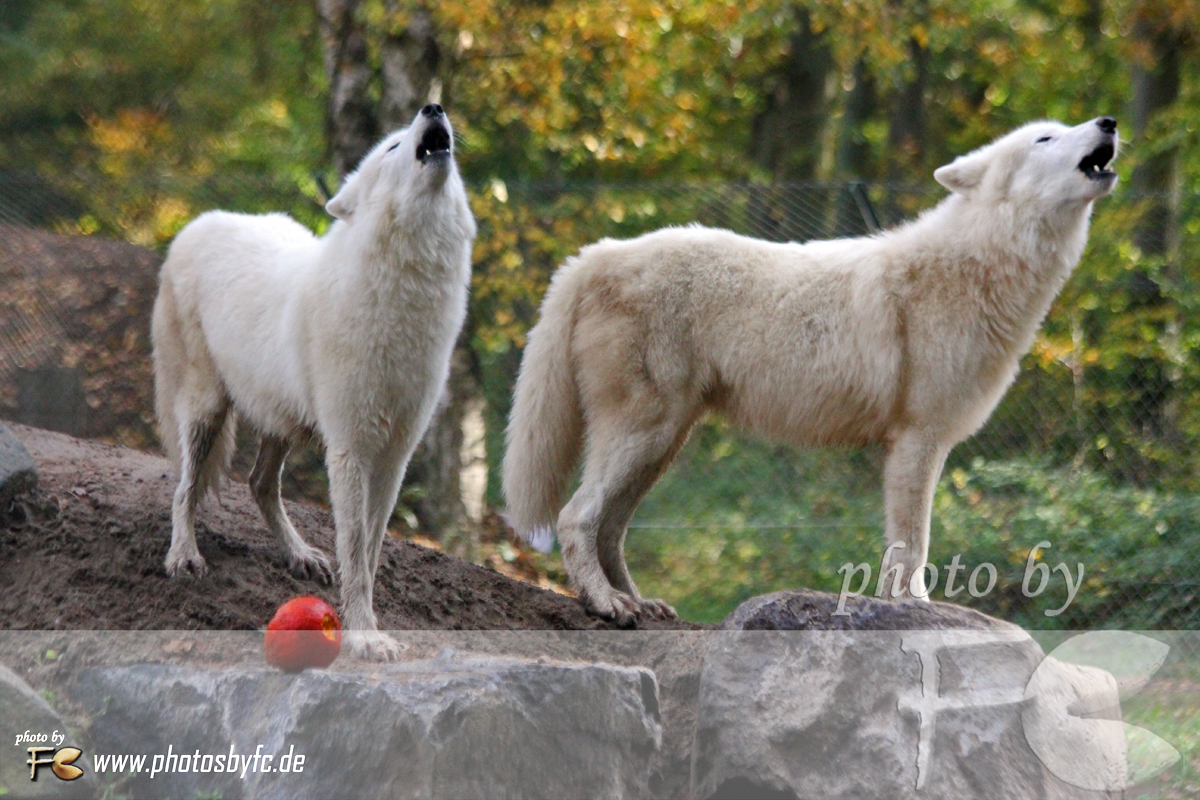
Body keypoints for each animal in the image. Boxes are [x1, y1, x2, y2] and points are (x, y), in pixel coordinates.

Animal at [154, 104, 477, 657]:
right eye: (392, 147)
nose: (433, 108)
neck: (407, 296)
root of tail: (196, 224)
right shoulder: (349, 448)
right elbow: (354, 547)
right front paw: (365, 638)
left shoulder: (395, 454)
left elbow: (370, 550)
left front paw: (365, 624)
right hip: (206, 411)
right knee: (185, 487)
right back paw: (184, 557)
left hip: (282, 422)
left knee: (258, 484)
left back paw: (301, 554)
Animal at [501, 115, 1118, 623]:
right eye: (1045, 138)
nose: (1109, 121)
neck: (978, 264)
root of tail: (593, 255)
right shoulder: (918, 440)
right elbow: (913, 544)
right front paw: (917, 609)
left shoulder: (916, 443)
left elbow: (903, 545)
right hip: (645, 433)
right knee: (575, 517)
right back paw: (606, 604)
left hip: (661, 444)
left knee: (610, 529)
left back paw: (636, 601)